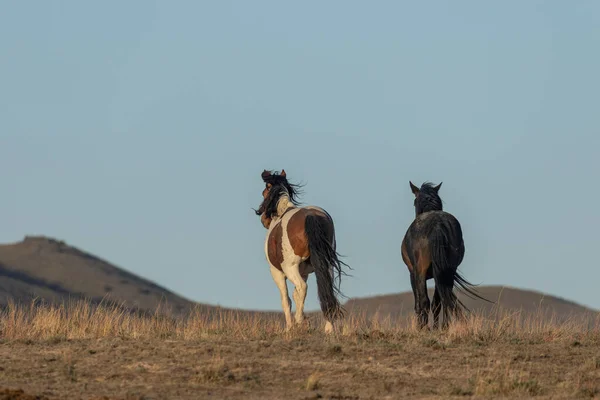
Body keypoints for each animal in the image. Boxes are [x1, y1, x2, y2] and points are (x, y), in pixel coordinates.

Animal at [255, 170, 350, 334]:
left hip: (290, 268)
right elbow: (297, 296)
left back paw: (299, 320)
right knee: (326, 290)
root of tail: (311, 215)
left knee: (302, 287)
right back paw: (328, 328)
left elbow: (287, 299)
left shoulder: (277, 272)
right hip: (326, 266)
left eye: (264, 192)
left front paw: (290, 327)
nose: (263, 219)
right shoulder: (304, 272)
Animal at [400, 180, 490, 328]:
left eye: (414, 201)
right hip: (446, 271)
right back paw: (442, 326)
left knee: (425, 300)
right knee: (442, 298)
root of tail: (437, 224)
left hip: (421, 271)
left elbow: (418, 303)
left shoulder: (412, 273)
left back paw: (425, 328)